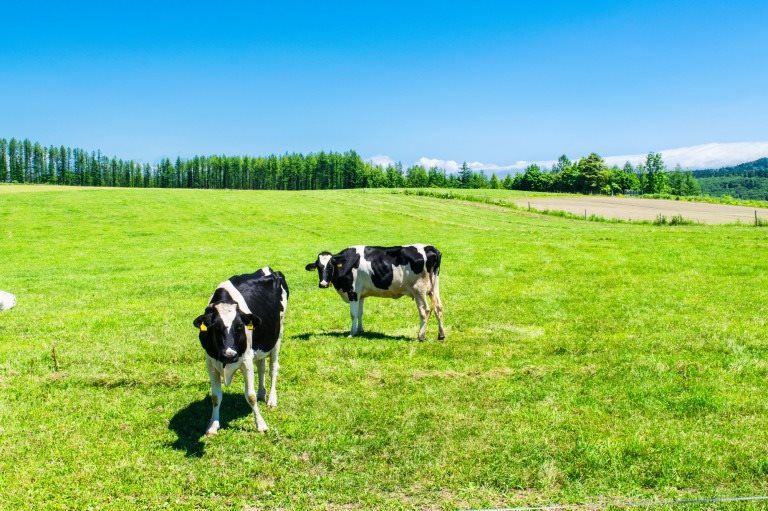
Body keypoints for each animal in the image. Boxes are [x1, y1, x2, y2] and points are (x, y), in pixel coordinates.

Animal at [192, 268, 288, 436]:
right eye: (215, 328)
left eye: (239, 327)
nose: (229, 355)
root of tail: (269, 269)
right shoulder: (210, 362)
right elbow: (215, 397)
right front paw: (213, 425)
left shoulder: (246, 360)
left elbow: (250, 396)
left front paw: (261, 424)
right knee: (261, 368)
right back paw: (262, 393)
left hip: (277, 335)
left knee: (273, 369)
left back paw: (271, 399)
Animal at [304, 245, 440, 342]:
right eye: (318, 267)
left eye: (330, 266)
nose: (323, 284)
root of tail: (429, 247)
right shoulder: (360, 295)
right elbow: (360, 313)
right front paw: (360, 331)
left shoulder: (353, 292)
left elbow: (353, 314)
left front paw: (352, 333)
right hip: (434, 288)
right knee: (439, 308)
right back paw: (441, 335)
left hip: (419, 290)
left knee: (425, 311)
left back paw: (420, 336)